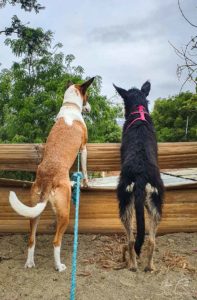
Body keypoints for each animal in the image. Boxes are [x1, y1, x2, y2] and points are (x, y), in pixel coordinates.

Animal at [9, 77, 94, 272]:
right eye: (87, 97)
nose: (89, 108)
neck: (70, 106)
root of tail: (48, 177)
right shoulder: (84, 148)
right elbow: (85, 168)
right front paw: (86, 182)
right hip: (65, 213)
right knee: (56, 241)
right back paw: (59, 266)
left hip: (34, 211)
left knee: (31, 239)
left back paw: (30, 262)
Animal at [113, 79, 164, 272]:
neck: (139, 111)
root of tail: (141, 175)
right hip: (154, 203)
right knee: (151, 240)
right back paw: (149, 266)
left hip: (125, 203)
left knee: (131, 239)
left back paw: (133, 265)